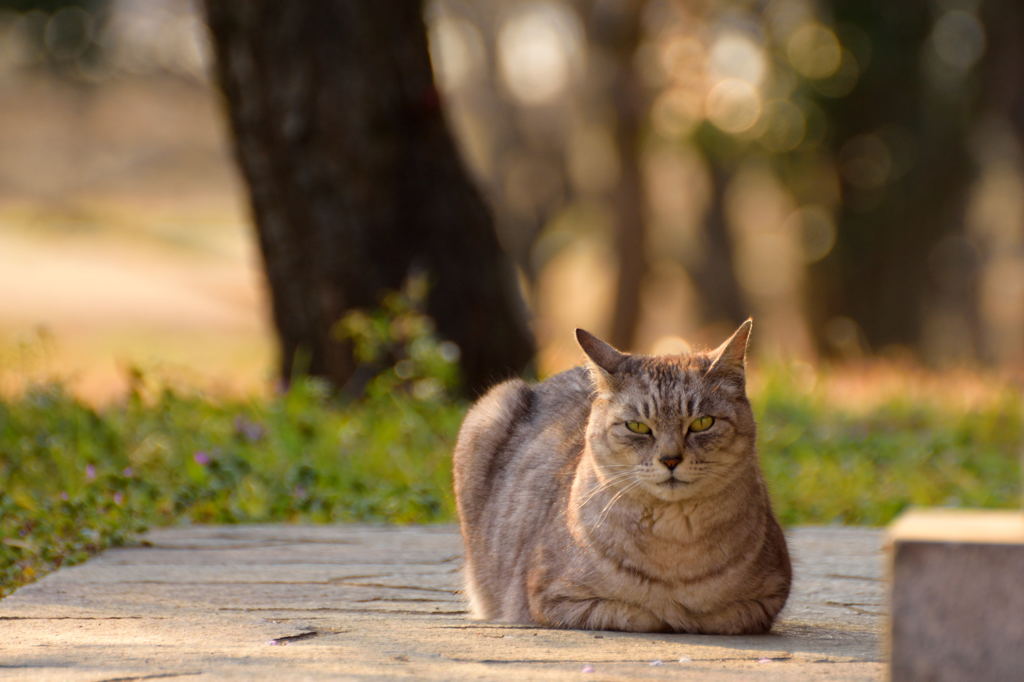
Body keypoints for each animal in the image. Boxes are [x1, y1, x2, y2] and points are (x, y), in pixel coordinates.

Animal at [452, 319, 794, 630]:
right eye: (638, 426)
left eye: (702, 423)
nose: (670, 459)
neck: (674, 538)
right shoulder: (554, 599)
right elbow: (642, 612)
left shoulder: (766, 599)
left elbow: (712, 614)